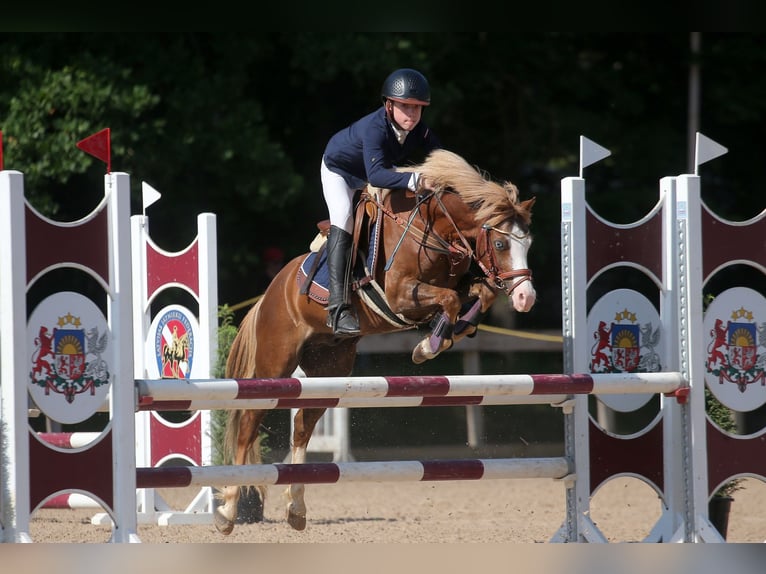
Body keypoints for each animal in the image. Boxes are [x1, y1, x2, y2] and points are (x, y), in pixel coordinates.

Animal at [216, 151, 536, 536]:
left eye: (528, 244)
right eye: (501, 244)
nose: (526, 298)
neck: (435, 230)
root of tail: (270, 293)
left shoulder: (458, 284)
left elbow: (479, 294)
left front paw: (446, 335)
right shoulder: (400, 295)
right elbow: (449, 299)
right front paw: (430, 345)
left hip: (328, 368)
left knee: (302, 428)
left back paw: (296, 509)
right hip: (274, 364)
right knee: (248, 423)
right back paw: (228, 511)